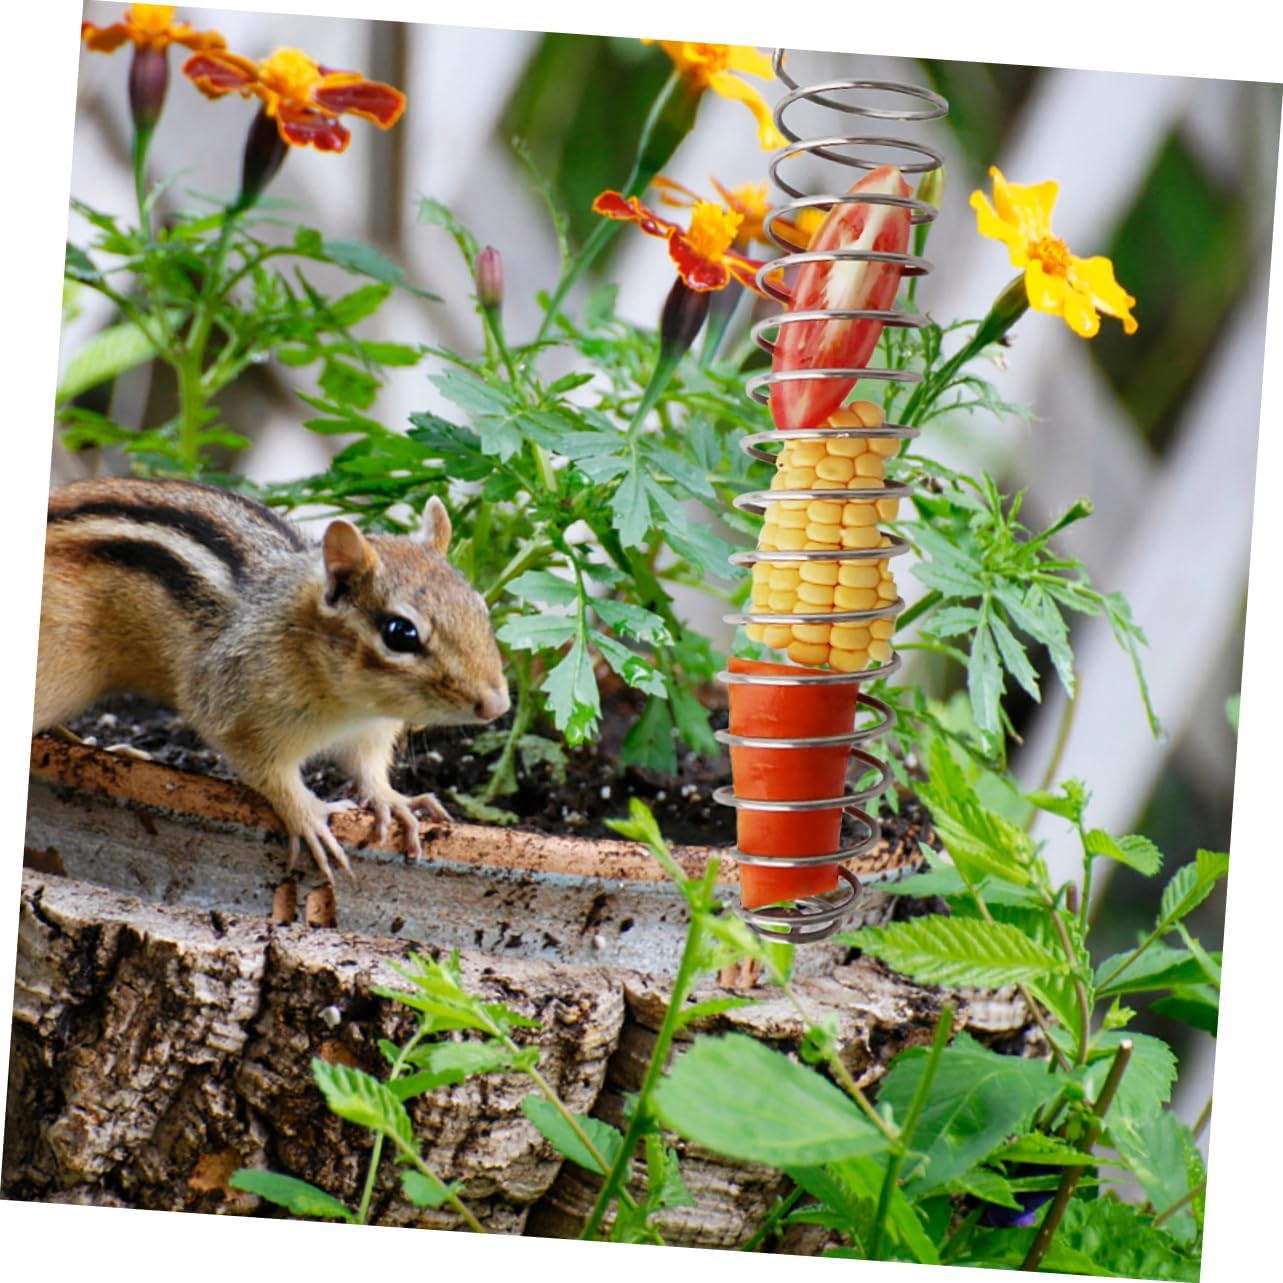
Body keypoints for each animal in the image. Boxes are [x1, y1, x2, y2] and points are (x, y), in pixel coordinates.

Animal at [34, 476, 510, 882]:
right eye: (400, 632)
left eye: (480, 608)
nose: (498, 705)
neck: (352, 706)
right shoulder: (236, 711)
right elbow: (269, 774)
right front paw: (310, 815)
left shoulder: (370, 733)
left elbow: (368, 768)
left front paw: (394, 801)